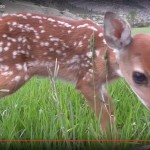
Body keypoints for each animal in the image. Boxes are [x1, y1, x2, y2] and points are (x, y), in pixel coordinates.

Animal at [0, 11, 149, 133]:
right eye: (138, 76)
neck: (103, 54)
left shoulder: (100, 84)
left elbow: (112, 110)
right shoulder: (86, 79)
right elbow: (106, 122)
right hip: (12, 74)